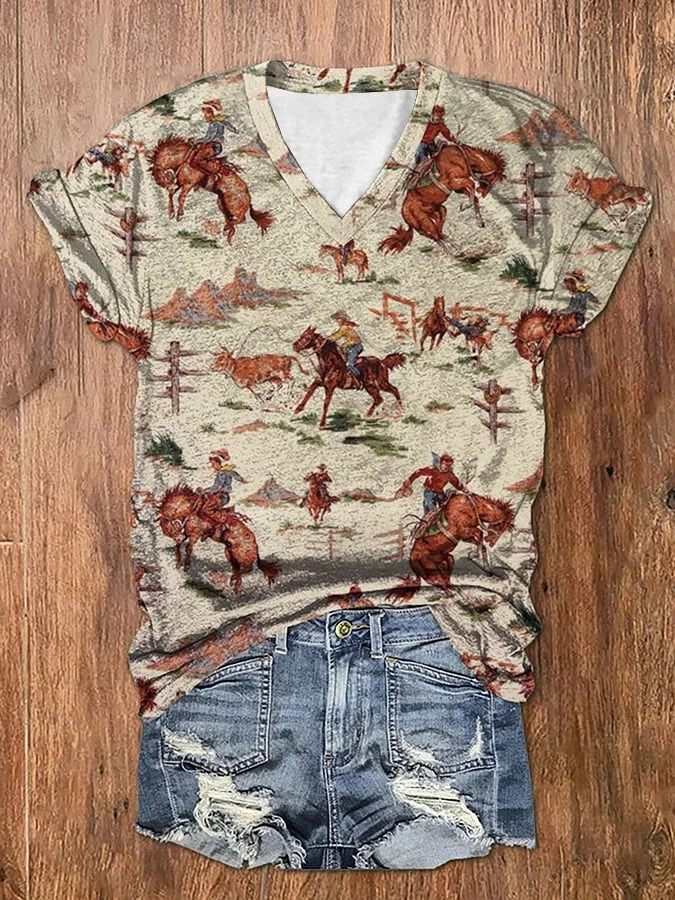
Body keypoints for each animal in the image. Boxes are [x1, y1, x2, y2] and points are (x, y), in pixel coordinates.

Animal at [146, 135, 275, 244]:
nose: (165, 184)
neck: (186, 159)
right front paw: (171, 212)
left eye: (158, 171)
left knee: (241, 218)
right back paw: (227, 228)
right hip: (221, 204)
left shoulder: (188, 185)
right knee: (232, 218)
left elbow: (180, 197)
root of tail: (249, 199)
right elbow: (171, 194)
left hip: (232, 206)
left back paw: (228, 229)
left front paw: (179, 215)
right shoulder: (179, 183)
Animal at [378, 142, 507, 255]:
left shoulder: (459, 187)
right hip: (424, 223)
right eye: (493, 179)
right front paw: (464, 206)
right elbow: (471, 187)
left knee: (440, 232)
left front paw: (479, 220)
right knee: (436, 237)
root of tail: (404, 210)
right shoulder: (455, 182)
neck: (460, 155)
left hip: (439, 211)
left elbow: (473, 197)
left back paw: (456, 247)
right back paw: (451, 253)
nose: (483, 192)